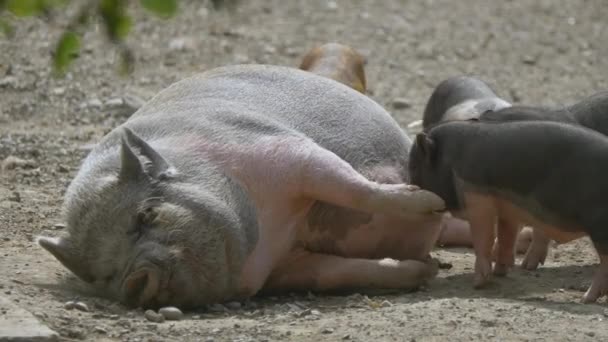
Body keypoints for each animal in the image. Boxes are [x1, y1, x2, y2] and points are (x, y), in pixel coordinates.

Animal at [39, 63, 446, 308]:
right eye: (101, 274)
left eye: (146, 215)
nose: (133, 282)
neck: (274, 228)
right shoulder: (285, 266)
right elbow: (332, 273)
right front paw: (423, 271)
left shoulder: (287, 151)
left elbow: (353, 189)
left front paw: (432, 203)